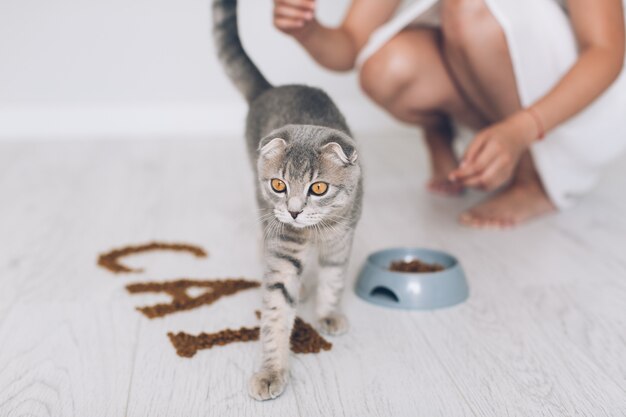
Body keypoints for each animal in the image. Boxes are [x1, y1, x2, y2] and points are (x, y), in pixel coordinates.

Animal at [213, 0, 364, 400]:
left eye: (318, 189)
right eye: (279, 185)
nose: (294, 212)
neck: (315, 232)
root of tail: (271, 88)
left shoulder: (341, 240)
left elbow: (333, 279)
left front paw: (328, 313)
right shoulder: (283, 248)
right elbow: (277, 311)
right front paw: (271, 372)